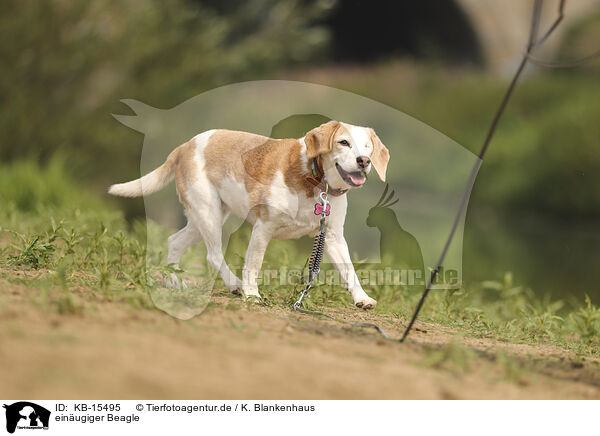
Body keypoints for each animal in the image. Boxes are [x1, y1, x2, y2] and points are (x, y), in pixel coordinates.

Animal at [108, 121, 390, 308]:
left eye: (367, 147)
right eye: (344, 142)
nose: (364, 160)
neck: (315, 179)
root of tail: (185, 146)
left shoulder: (331, 237)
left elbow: (350, 271)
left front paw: (362, 298)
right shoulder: (263, 228)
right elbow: (253, 265)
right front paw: (251, 294)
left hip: (205, 219)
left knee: (174, 242)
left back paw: (175, 282)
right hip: (208, 215)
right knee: (212, 255)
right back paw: (234, 285)